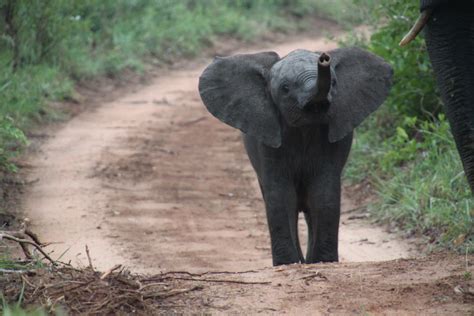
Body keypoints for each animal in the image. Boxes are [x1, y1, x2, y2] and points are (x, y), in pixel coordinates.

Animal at [197, 46, 392, 264]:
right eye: (285, 88)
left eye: (334, 83)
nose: (324, 59)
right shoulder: (268, 139)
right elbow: (280, 196)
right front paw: (287, 263)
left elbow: (324, 192)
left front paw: (324, 261)